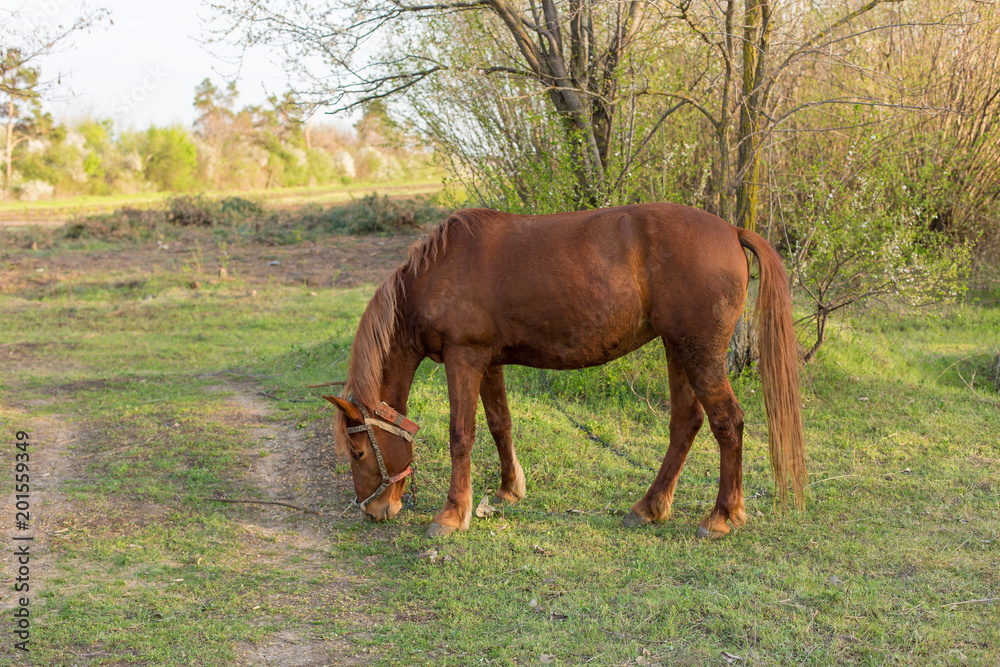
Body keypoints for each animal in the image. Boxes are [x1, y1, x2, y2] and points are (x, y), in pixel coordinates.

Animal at [325, 202, 805, 539]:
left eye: (358, 452)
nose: (373, 511)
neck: (439, 271)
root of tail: (731, 230)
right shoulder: (488, 361)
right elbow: (500, 423)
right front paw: (509, 489)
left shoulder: (464, 359)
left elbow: (461, 435)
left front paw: (451, 515)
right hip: (678, 350)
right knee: (686, 423)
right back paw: (649, 507)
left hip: (699, 354)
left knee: (728, 424)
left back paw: (722, 516)